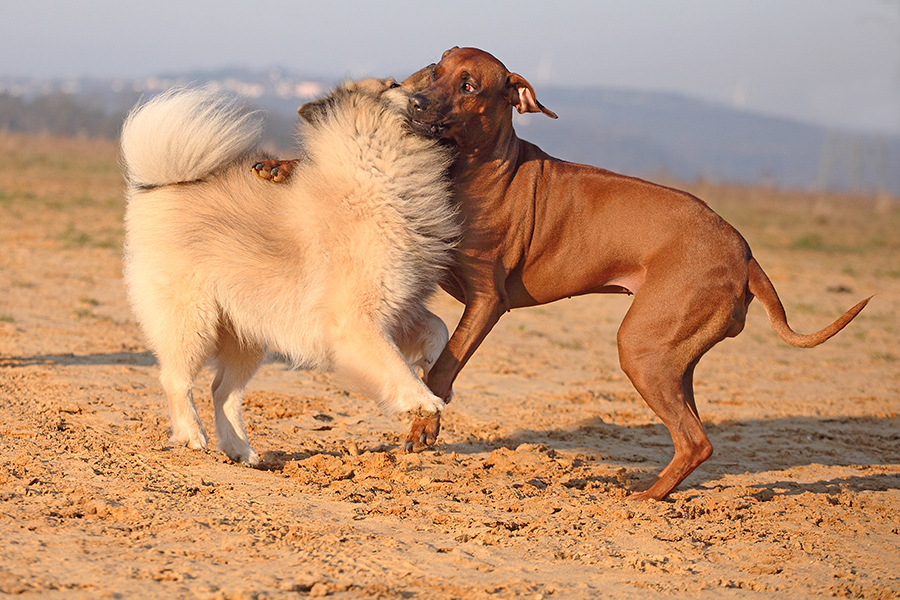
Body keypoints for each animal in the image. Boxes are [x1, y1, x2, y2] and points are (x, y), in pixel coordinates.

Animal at [119, 78, 458, 464]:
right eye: (394, 85)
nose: (425, 91)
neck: (374, 179)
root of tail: (161, 186)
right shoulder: (357, 322)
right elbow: (394, 364)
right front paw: (423, 400)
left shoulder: (399, 311)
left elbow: (438, 328)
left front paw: (435, 370)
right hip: (192, 322)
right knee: (176, 380)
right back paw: (192, 435)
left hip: (246, 333)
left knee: (223, 391)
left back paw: (242, 451)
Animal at [258, 47, 872, 500]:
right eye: (436, 68)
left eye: (470, 86)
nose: (416, 102)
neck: (473, 168)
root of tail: (745, 252)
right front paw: (280, 165)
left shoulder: (488, 300)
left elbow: (444, 369)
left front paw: (424, 424)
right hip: (675, 355)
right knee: (693, 432)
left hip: (641, 346)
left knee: (696, 441)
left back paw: (643, 498)